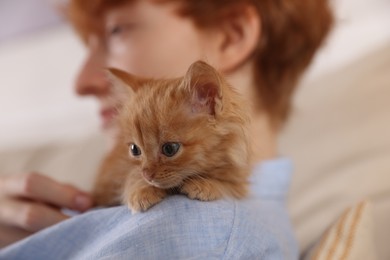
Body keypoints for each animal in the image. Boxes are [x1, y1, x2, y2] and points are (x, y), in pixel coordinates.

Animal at [92, 61, 250, 213]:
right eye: (134, 149)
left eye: (170, 149)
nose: (147, 175)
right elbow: (132, 174)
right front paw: (141, 189)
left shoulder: (241, 180)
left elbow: (231, 187)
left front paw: (207, 184)